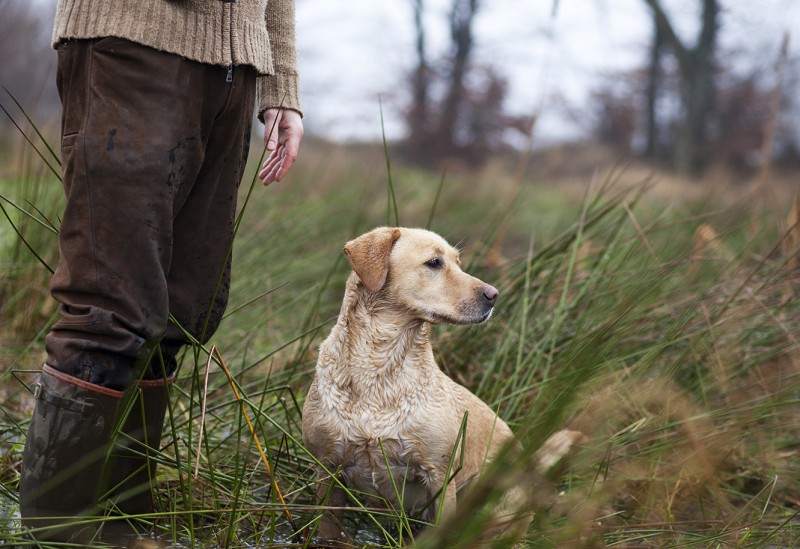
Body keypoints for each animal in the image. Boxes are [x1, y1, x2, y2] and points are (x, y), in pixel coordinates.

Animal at [304, 227, 528, 540]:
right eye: (434, 262)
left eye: (458, 262)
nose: (494, 295)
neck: (380, 365)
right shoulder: (327, 470)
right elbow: (327, 528)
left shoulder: (439, 475)